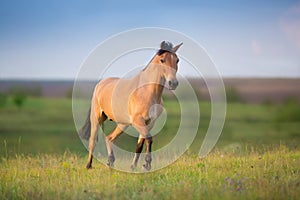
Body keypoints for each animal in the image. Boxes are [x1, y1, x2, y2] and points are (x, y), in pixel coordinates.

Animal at [79, 40, 182, 170]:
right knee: (92, 140)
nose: (173, 83)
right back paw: (89, 165)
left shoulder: (149, 122)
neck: (147, 91)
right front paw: (147, 164)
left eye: (177, 60)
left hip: (123, 124)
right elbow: (149, 139)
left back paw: (110, 162)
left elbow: (140, 144)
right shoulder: (138, 121)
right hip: (97, 118)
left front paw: (134, 166)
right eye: (162, 60)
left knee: (109, 138)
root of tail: (100, 84)